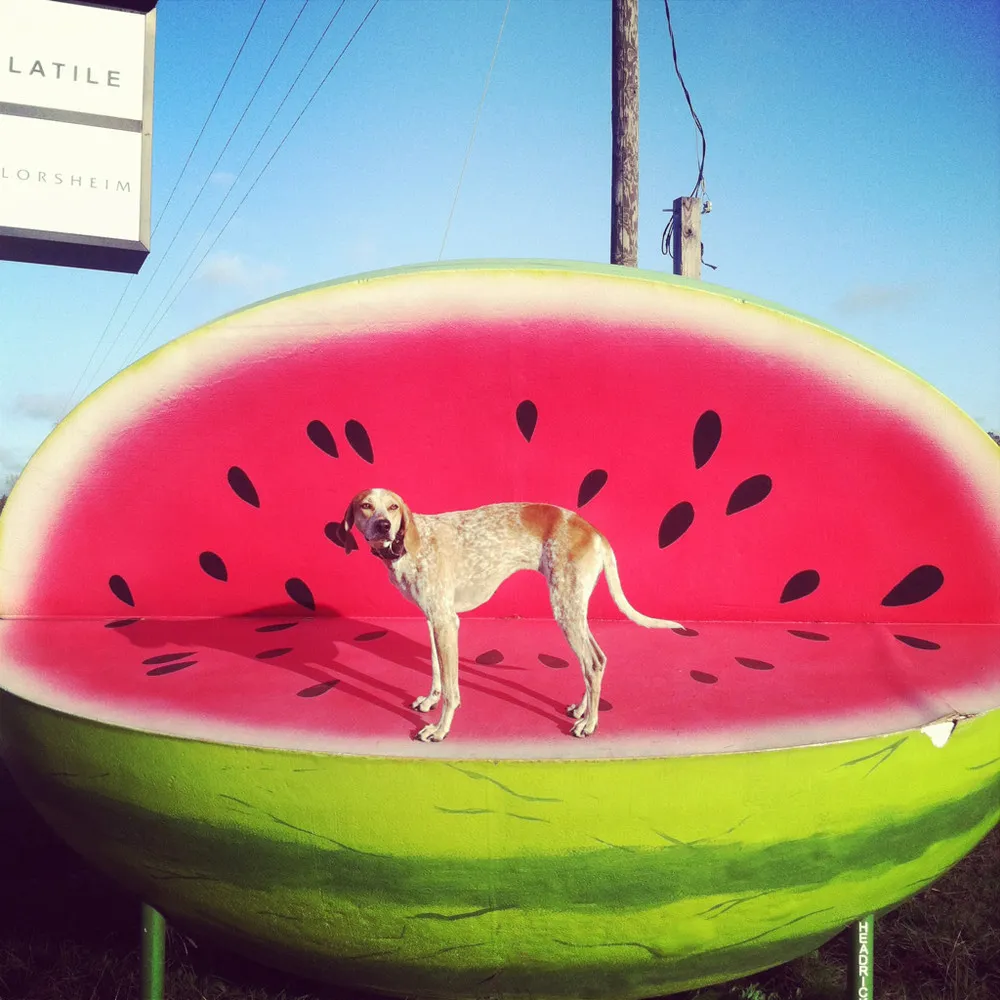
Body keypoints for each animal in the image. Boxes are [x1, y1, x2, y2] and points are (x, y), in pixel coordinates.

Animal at [340, 488, 684, 740]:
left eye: (393, 507)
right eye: (366, 506)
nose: (383, 525)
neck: (410, 545)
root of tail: (594, 532)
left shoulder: (447, 623)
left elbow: (452, 689)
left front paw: (440, 729)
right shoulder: (433, 619)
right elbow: (437, 671)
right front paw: (429, 700)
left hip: (565, 608)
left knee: (592, 663)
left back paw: (590, 724)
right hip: (573, 607)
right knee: (596, 660)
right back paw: (582, 711)